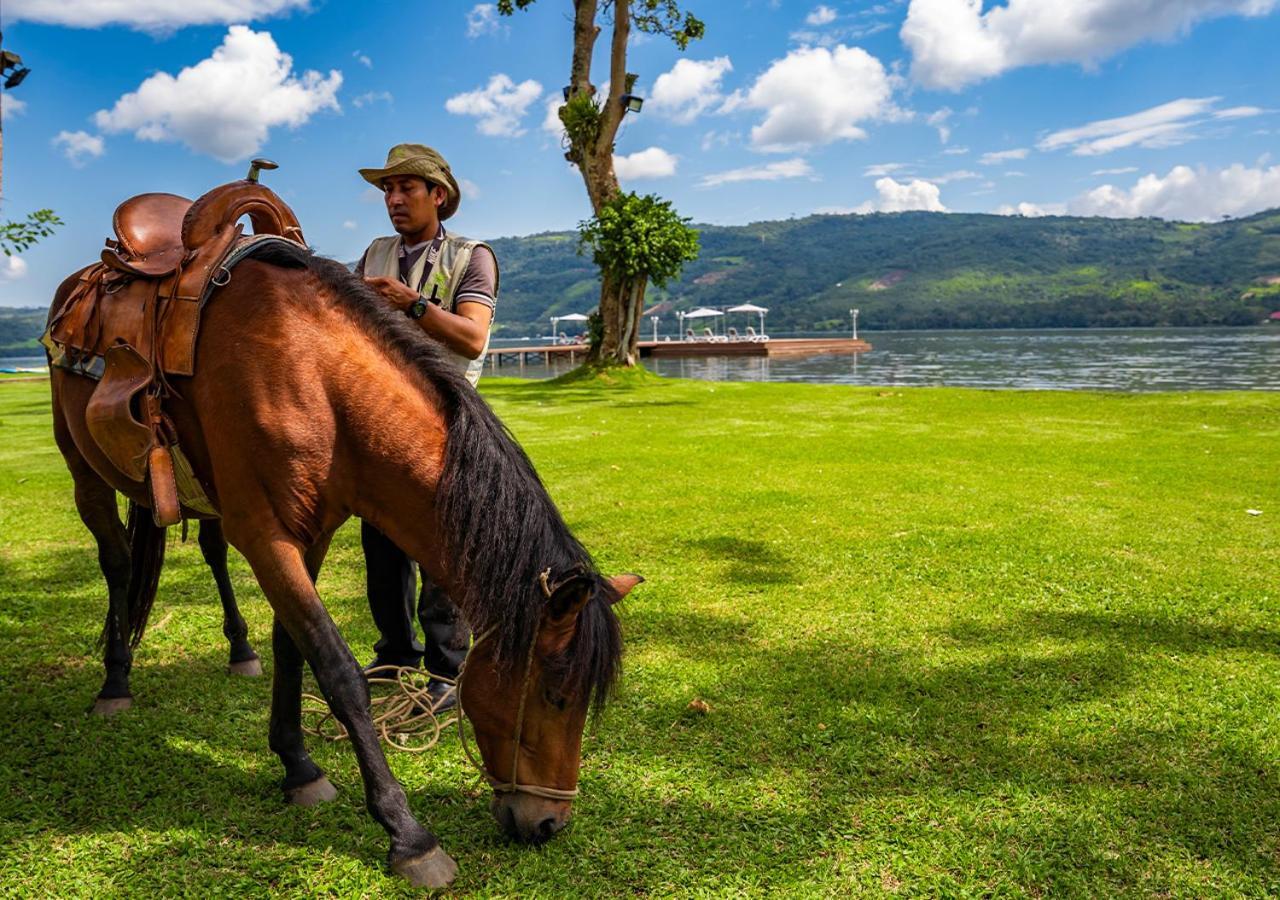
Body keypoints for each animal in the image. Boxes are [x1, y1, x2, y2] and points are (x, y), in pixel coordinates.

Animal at [49, 239, 640, 885]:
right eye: (557, 695)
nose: (548, 823)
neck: (311, 374)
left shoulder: (312, 534)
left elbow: (292, 645)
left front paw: (297, 764)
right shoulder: (265, 535)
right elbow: (337, 670)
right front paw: (407, 835)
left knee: (209, 554)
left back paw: (239, 651)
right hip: (83, 470)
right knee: (117, 563)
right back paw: (115, 680)